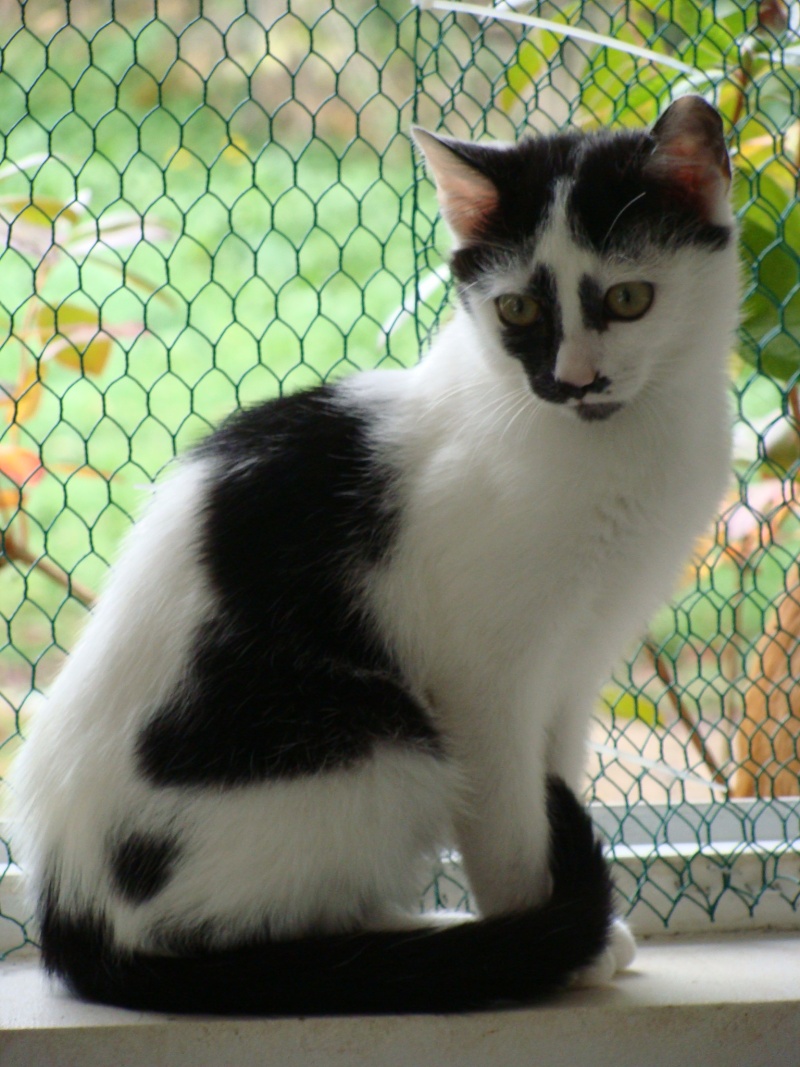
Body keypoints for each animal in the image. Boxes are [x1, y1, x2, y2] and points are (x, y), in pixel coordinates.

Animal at [10, 93, 738, 1015]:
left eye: (630, 297)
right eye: (517, 312)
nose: (573, 380)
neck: (612, 448)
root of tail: (73, 918)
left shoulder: (576, 668)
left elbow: (554, 780)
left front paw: (566, 926)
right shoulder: (482, 682)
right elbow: (512, 821)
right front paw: (552, 934)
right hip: (384, 743)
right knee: (234, 930)